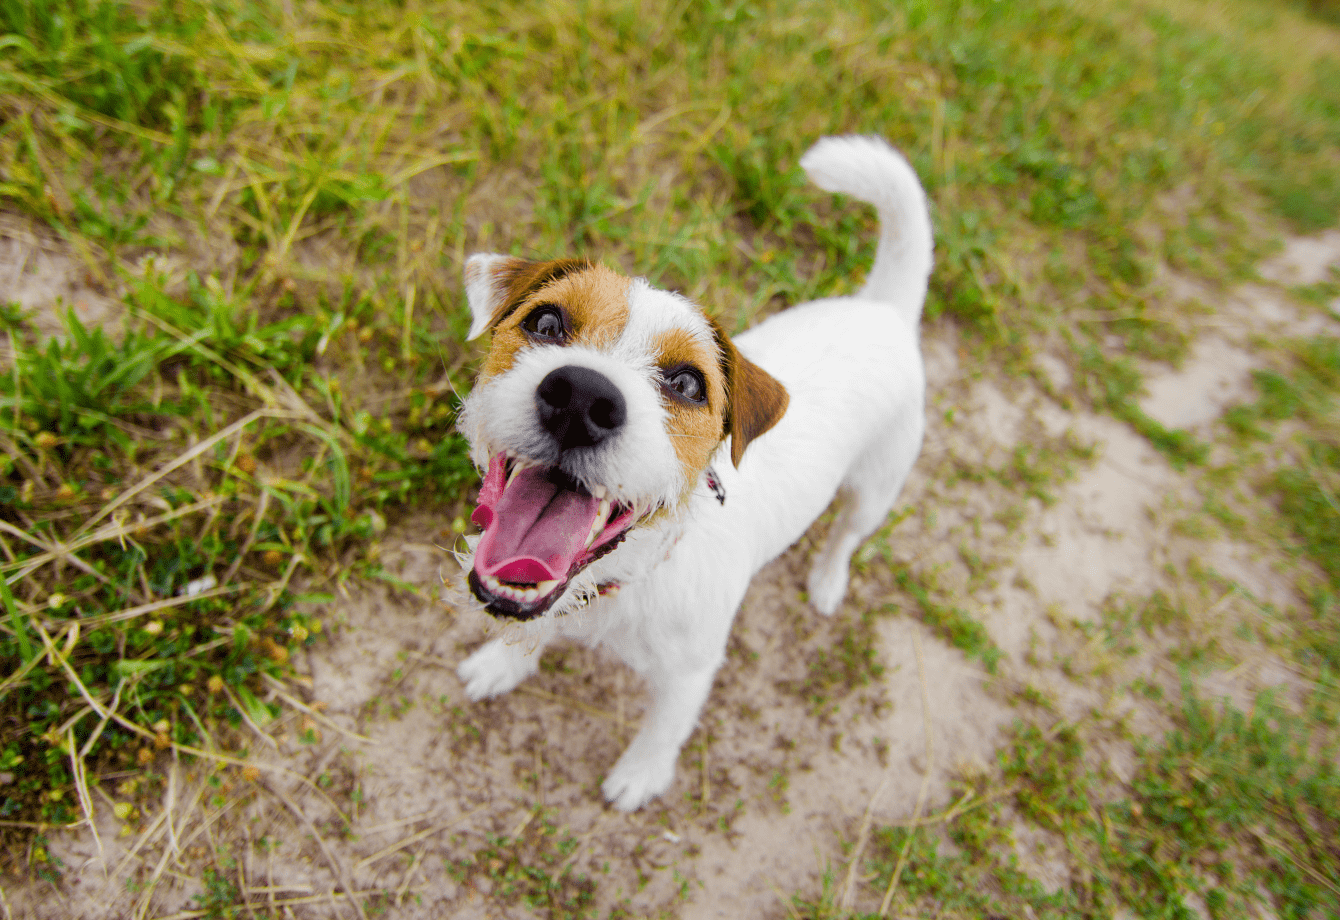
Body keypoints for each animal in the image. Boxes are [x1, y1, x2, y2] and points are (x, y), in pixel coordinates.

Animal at [450, 133, 932, 808]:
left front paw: (640, 774)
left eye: (686, 383)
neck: (631, 574)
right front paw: (502, 664)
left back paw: (827, 580)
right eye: (545, 322)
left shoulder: (691, 673)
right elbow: (534, 630)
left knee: (847, 532)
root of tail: (883, 309)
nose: (580, 399)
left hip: (875, 486)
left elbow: (664, 727)